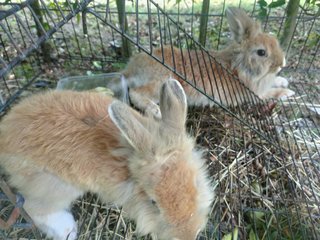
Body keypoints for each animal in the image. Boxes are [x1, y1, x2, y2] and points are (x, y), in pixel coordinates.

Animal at [1, 79, 215, 240]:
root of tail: (4, 133)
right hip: (56, 185)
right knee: (33, 208)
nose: (189, 235)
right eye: (153, 202)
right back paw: (68, 230)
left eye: (196, 185)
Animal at [107, 6, 296, 113]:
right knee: (135, 93)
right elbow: (271, 93)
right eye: (262, 52)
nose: (282, 64)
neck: (238, 66)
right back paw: (155, 111)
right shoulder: (256, 93)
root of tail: (130, 70)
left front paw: (283, 80)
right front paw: (288, 93)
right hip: (160, 83)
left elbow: (275, 82)